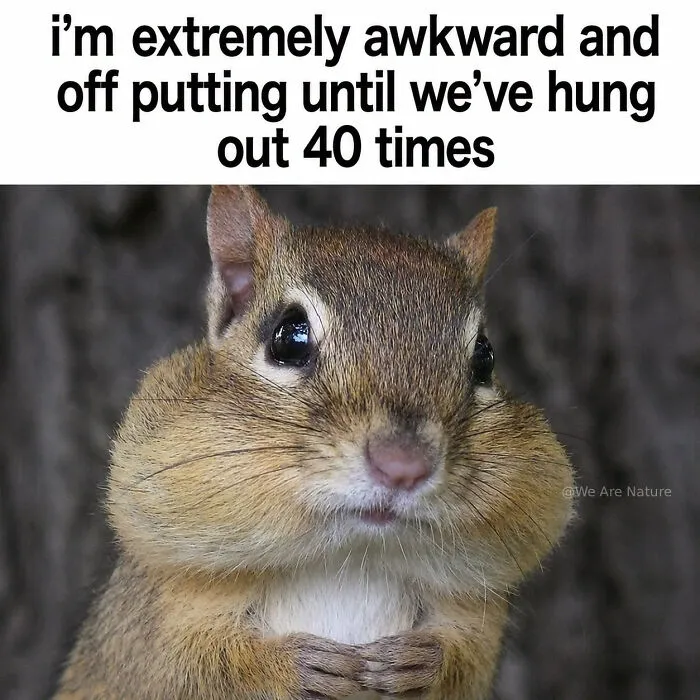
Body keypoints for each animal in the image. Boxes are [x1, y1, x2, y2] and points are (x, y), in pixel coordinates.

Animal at [55, 186, 574, 700]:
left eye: (485, 357)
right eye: (288, 337)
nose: (403, 466)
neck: (352, 561)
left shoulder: (478, 621)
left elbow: (465, 662)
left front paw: (422, 663)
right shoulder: (156, 627)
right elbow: (198, 669)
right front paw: (290, 667)